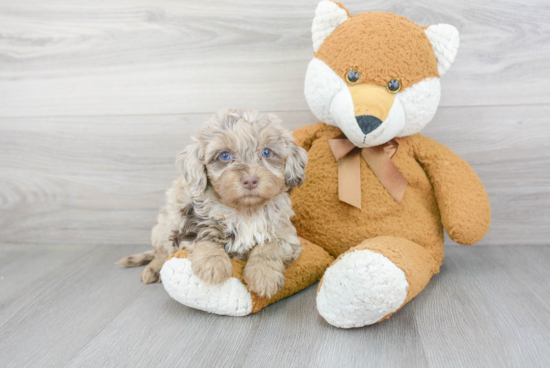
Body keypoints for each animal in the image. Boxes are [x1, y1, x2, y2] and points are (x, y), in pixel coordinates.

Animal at [118, 108, 308, 298]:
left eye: (267, 152)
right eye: (224, 155)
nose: (250, 180)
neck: (246, 211)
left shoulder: (285, 232)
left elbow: (270, 245)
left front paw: (264, 275)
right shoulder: (190, 224)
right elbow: (205, 238)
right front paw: (214, 265)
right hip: (163, 226)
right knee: (161, 252)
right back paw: (154, 269)